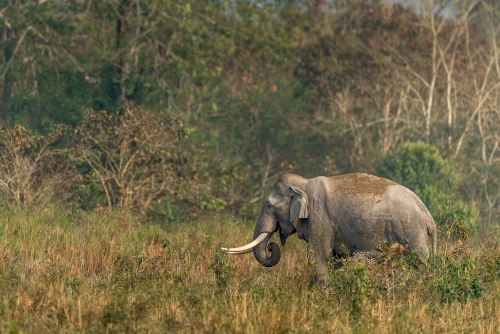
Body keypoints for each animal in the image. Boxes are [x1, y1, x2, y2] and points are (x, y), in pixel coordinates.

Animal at [223, 172, 438, 284]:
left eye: (268, 205)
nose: (271, 246)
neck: (303, 183)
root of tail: (429, 218)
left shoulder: (319, 218)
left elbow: (318, 256)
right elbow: (334, 259)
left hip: (411, 232)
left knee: (418, 262)